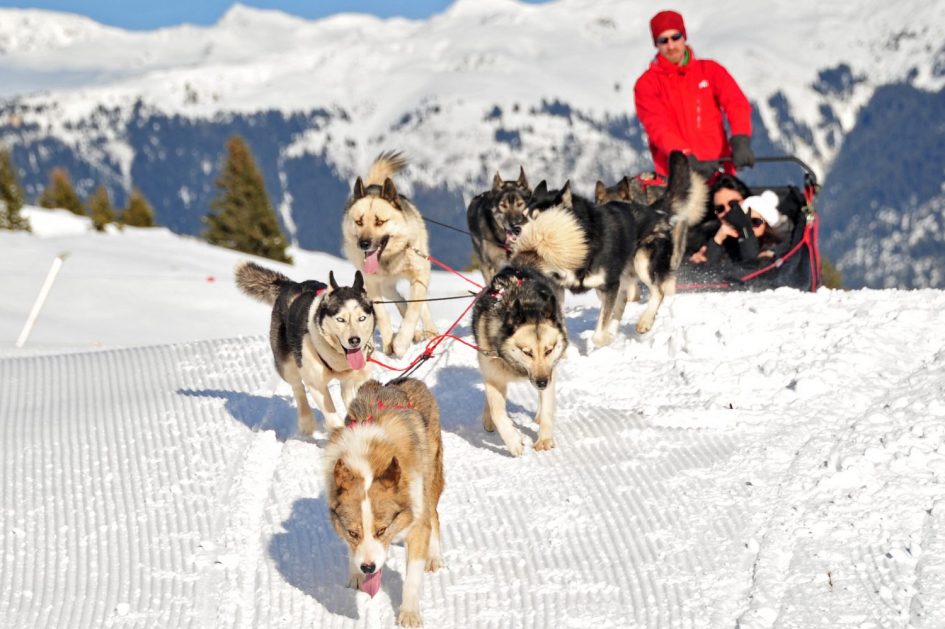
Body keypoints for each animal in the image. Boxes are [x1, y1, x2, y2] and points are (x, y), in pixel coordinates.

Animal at [234, 258, 374, 432]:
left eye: (361, 318)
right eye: (340, 319)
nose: (355, 340)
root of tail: (291, 285)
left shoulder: (358, 378)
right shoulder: (316, 385)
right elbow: (333, 419)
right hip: (287, 365)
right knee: (298, 387)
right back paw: (306, 422)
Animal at [324, 376, 442, 624]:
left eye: (382, 530)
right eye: (353, 533)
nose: (368, 568)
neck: (369, 462)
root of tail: (407, 380)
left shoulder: (417, 520)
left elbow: (412, 578)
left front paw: (409, 613)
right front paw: (355, 574)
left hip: (431, 478)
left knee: (434, 515)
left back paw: (434, 555)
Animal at [340, 151, 438, 358]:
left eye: (379, 221)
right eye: (359, 221)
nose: (364, 243)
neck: (389, 259)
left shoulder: (419, 275)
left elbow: (414, 309)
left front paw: (401, 342)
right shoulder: (372, 285)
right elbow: (383, 315)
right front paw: (389, 344)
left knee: (419, 304)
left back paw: (429, 330)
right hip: (384, 286)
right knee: (399, 299)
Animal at [472, 262, 568, 454]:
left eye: (549, 350)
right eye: (527, 352)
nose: (542, 382)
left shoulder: (550, 372)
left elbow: (547, 408)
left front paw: (544, 439)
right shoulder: (494, 378)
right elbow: (497, 412)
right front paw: (513, 441)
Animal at [516, 152, 700, 346]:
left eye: (541, 219)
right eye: (524, 216)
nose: (515, 229)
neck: (582, 244)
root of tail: (654, 211)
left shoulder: (610, 284)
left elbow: (598, 332)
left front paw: (602, 340)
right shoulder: (558, 287)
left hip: (642, 261)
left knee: (658, 292)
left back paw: (644, 322)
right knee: (622, 303)